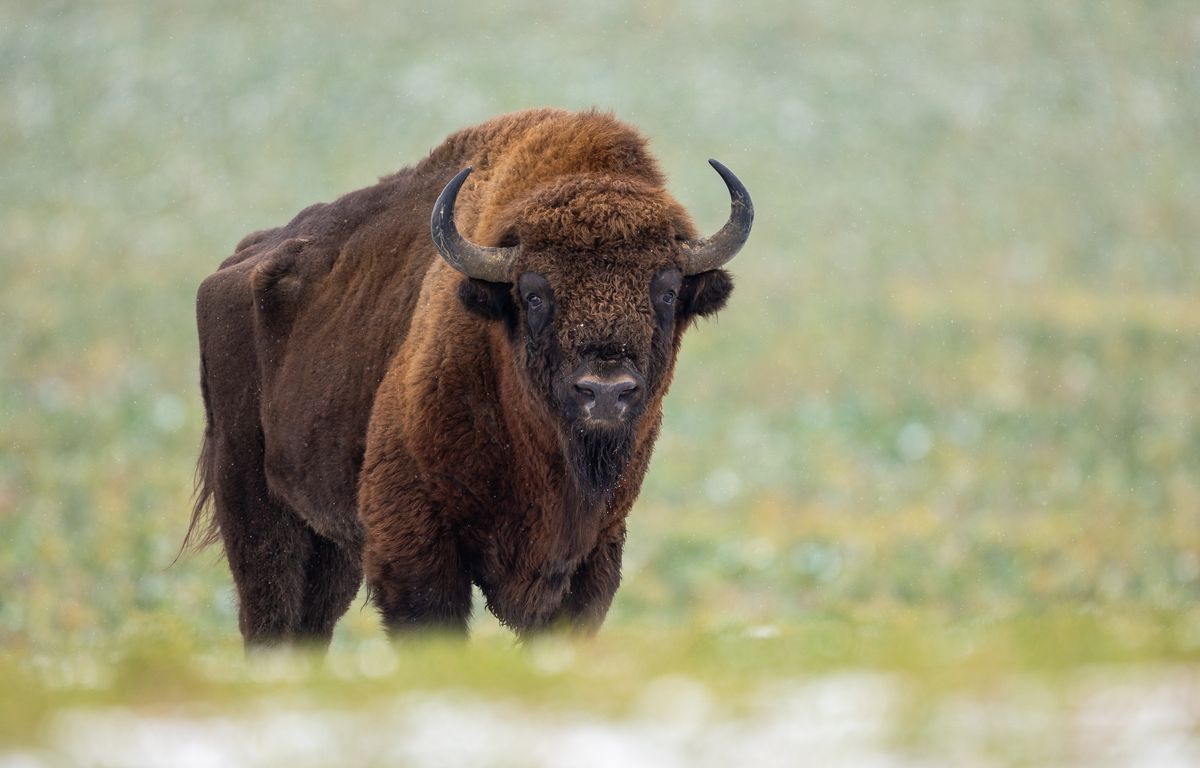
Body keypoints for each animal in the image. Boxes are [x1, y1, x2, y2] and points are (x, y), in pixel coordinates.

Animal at [188, 108, 753, 646]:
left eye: (667, 291)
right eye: (533, 293)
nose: (606, 392)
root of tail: (234, 264)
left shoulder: (592, 554)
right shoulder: (413, 541)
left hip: (327, 539)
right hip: (255, 505)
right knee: (270, 615)